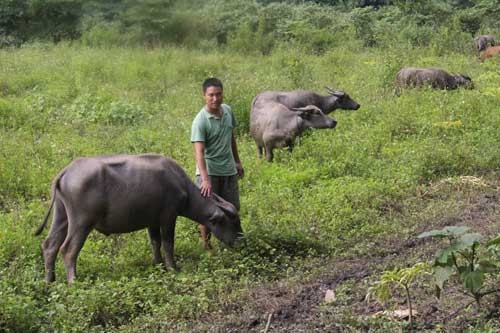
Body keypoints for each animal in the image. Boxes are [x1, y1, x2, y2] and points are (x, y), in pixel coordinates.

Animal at [35, 154, 242, 282]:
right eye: (233, 222)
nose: (242, 240)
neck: (180, 184)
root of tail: (67, 171)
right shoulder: (168, 217)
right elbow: (168, 243)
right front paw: (173, 268)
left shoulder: (152, 221)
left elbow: (155, 242)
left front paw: (158, 265)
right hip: (81, 222)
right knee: (68, 250)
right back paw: (73, 281)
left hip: (61, 216)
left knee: (50, 245)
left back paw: (49, 280)